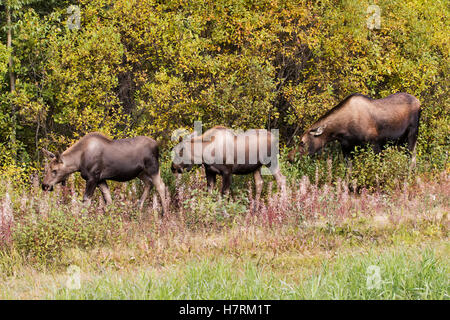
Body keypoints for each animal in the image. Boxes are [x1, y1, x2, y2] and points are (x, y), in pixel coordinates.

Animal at [288, 91, 422, 164]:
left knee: (412, 158)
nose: (290, 157)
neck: (340, 131)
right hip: (400, 141)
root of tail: (419, 102)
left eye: (302, 142)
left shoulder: (374, 144)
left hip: (412, 134)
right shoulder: (347, 148)